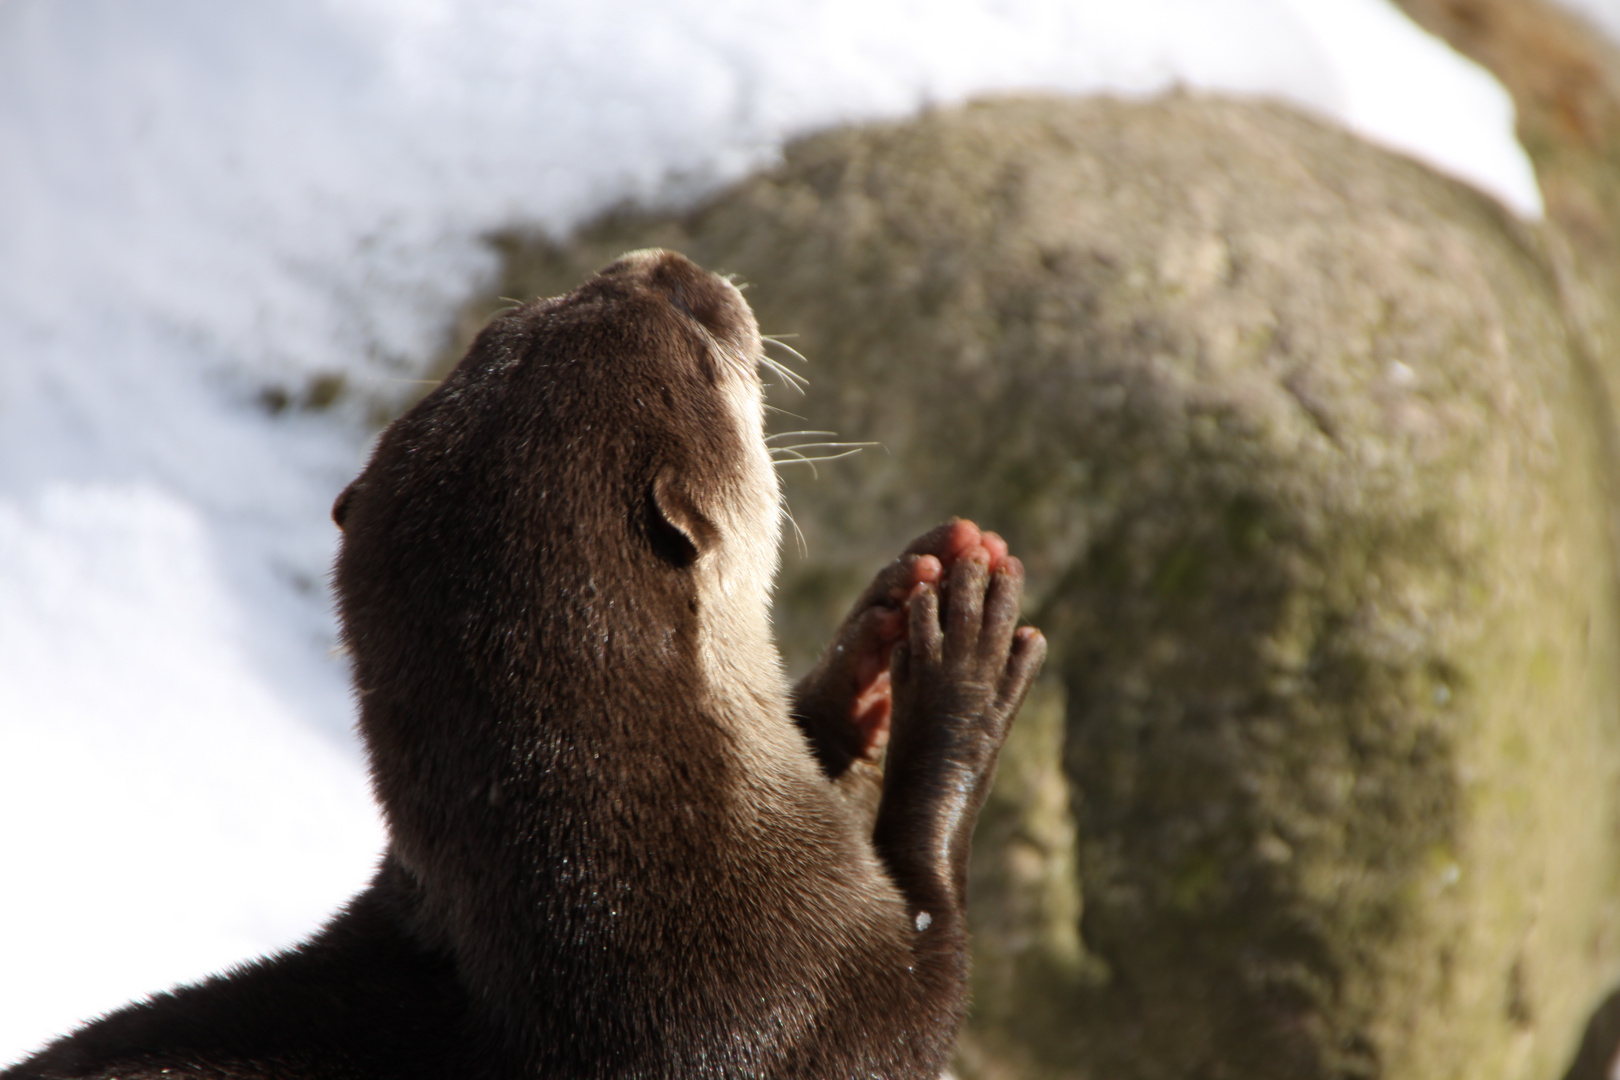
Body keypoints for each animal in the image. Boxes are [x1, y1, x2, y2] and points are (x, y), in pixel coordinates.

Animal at [6, 249, 1043, 1075]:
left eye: (520, 316)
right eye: (695, 334)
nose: (662, 262)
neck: (624, 894)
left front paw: (875, 636)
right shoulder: (824, 1009)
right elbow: (937, 942)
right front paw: (964, 668)